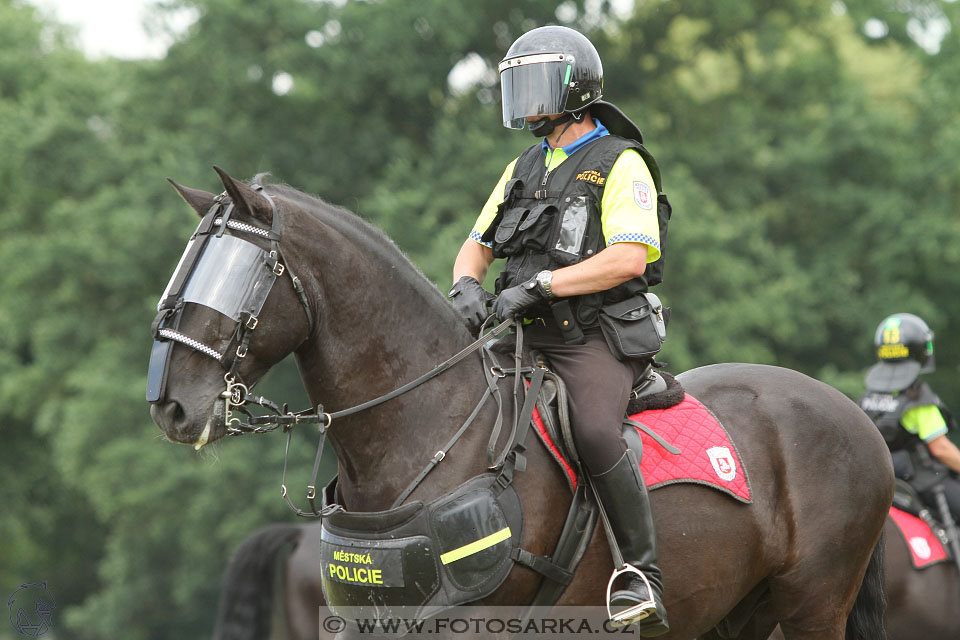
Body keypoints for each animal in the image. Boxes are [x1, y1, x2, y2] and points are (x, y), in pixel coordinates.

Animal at [150, 171, 892, 640]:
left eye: (237, 274)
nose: (172, 407)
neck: (426, 429)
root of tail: (854, 417)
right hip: (737, 612)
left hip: (812, 605)